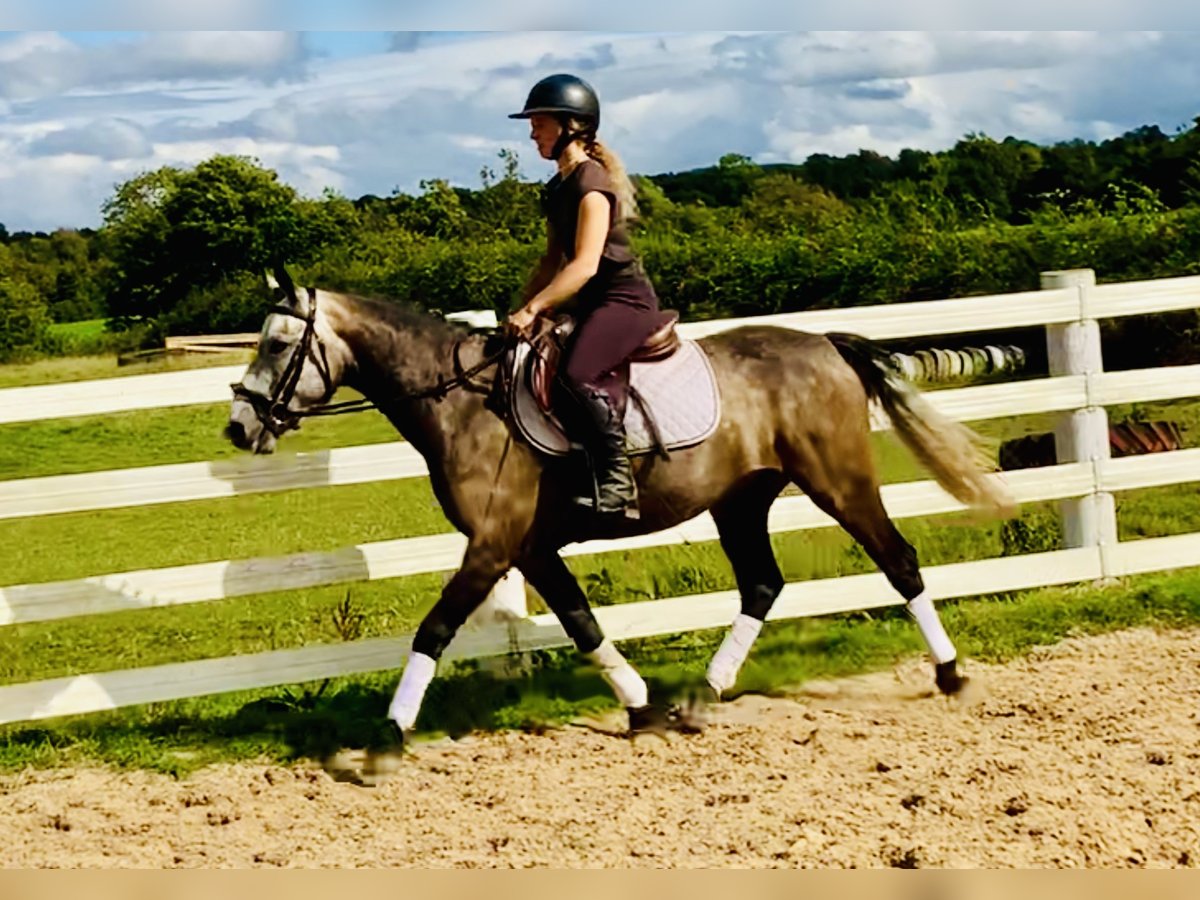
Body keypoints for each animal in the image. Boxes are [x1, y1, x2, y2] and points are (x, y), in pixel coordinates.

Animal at [226, 271, 1012, 744]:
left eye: (280, 343)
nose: (237, 427)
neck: (464, 404)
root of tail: (824, 341)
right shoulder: (529, 547)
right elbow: (582, 624)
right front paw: (640, 707)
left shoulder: (493, 543)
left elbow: (435, 629)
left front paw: (389, 735)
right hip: (741, 501)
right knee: (763, 584)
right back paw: (702, 695)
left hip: (838, 481)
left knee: (898, 561)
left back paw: (950, 675)